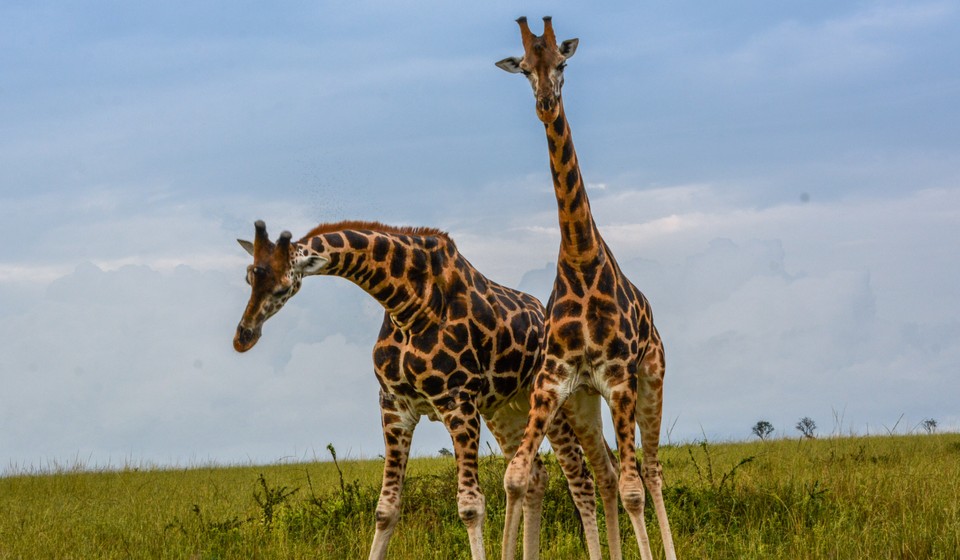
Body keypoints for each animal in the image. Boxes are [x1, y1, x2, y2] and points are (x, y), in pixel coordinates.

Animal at [236, 220, 620, 560]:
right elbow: (385, 509)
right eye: (249, 276)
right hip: (504, 409)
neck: (406, 306)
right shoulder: (394, 406)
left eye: (283, 286)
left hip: (555, 402)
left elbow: (470, 507)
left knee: (580, 475)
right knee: (537, 476)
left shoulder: (458, 402)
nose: (244, 336)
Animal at [498, 16, 680, 560]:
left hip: (651, 378)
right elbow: (517, 476)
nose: (545, 102)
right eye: (524, 68)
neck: (579, 260)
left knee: (651, 471)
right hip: (583, 403)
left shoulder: (620, 380)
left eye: (562, 63)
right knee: (607, 474)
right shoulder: (552, 382)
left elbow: (635, 489)